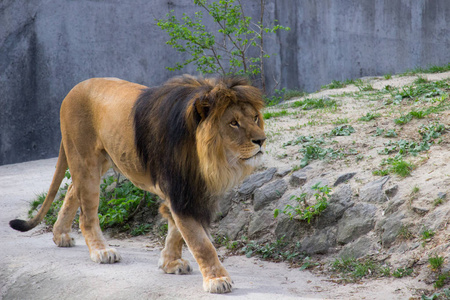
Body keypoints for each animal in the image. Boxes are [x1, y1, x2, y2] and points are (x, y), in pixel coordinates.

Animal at [9, 75, 268, 292]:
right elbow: (200, 242)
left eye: (255, 118)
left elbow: (177, 231)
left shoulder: (192, 191)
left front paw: (170, 263)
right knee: (87, 214)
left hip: (102, 160)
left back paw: (60, 235)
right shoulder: (180, 192)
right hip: (85, 160)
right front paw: (217, 279)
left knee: (73, 190)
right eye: (233, 123)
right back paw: (101, 250)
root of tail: (74, 88)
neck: (209, 158)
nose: (262, 140)